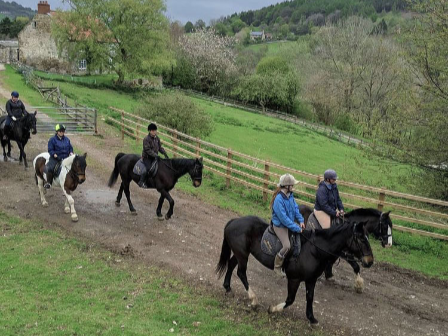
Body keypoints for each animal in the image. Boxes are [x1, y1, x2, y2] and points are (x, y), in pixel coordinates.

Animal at [215, 217, 372, 324]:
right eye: (361, 238)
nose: (370, 261)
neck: (314, 249)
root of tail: (234, 221)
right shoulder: (294, 279)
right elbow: (290, 299)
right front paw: (273, 309)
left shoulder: (311, 280)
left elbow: (310, 297)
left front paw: (311, 318)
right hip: (242, 255)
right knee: (241, 273)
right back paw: (253, 299)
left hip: (240, 253)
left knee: (231, 265)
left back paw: (227, 287)